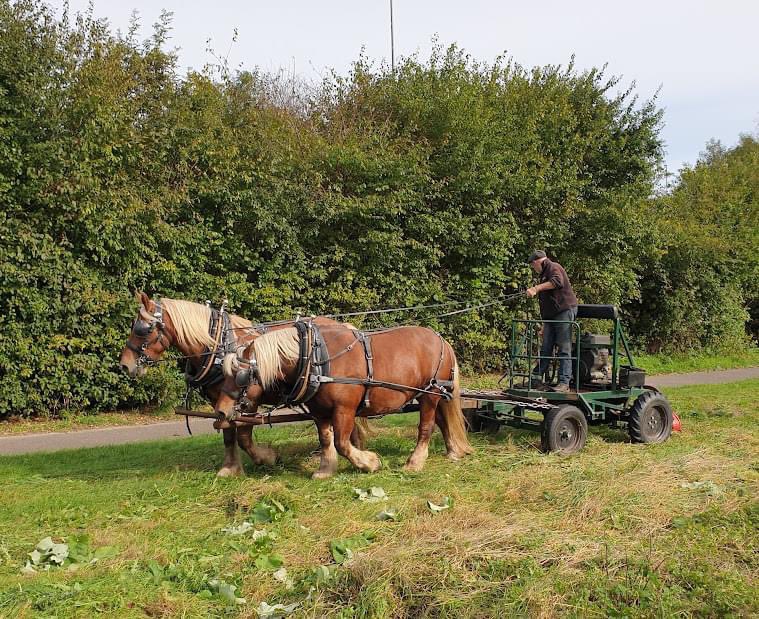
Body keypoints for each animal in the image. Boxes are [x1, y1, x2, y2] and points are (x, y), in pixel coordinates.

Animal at [119, 294, 366, 478]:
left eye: (143, 329)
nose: (124, 365)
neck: (219, 346)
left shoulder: (249, 400)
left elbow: (244, 436)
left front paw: (266, 457)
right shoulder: (219, 401)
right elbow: (227, 433)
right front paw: (230, 468)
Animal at [215, 324, 476, 480]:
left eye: (240, 376)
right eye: (223, 374)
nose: (220, 411)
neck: (315, 359)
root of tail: (441, 340)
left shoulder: (344, 409)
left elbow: (342, 442)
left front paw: (369, 462)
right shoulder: (320, 411)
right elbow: (326, 439)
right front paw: (325, 469)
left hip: (430, 393)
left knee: (426, 427)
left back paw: (415, 461)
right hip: (430, 394)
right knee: (442, 420)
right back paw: (453, 451)